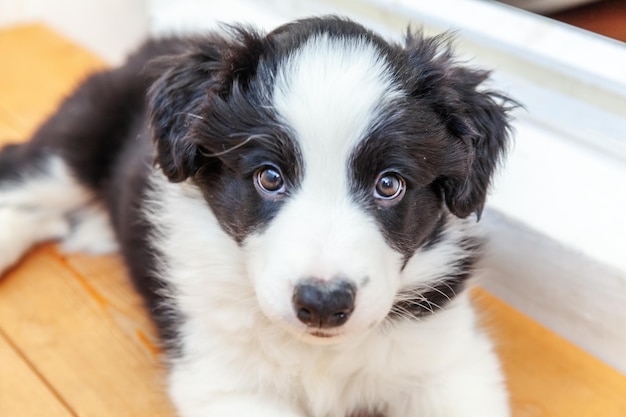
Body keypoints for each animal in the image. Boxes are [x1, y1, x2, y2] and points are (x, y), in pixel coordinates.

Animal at [0, 16, 516, 416]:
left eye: (389, 185)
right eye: (269, 177)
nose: (323, 304)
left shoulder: (451, 365)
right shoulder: (225, 382)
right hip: (78, 138)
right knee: (23, 173)